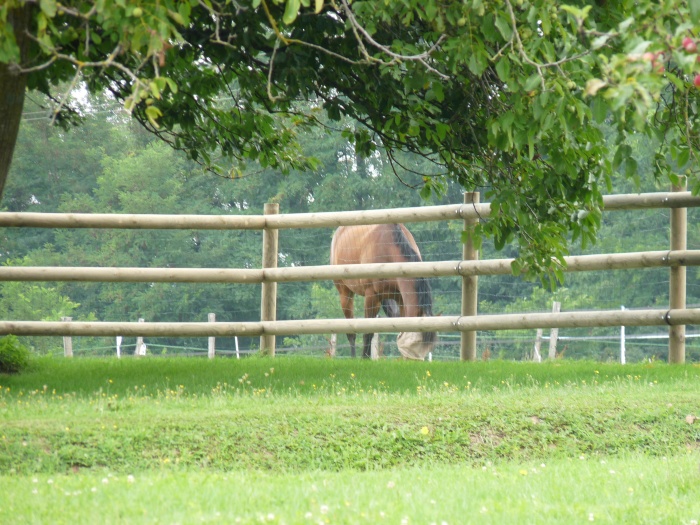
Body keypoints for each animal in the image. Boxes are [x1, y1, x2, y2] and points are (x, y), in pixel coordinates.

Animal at [330, 223, 438, 358]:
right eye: (412, 345)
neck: (389, 248)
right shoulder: (371, 296)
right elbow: (368, 334)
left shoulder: (400, 299)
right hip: (345, 293)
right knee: (351, 334)